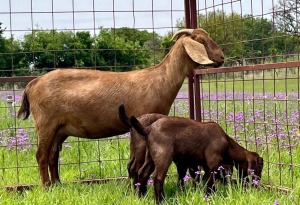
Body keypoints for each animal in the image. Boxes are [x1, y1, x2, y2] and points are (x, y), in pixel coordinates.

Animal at [16, 27, 223, 186]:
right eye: (201, 40)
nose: (221, 57)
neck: (160, 80)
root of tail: (33, 83)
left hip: (60, 128)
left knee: (52, 155)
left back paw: (57, 184)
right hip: (46, 123)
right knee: (41, 156)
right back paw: (46, 187)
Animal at [127, 114, 264, 203]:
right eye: (259, 167)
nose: (257, 183)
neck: (228, 144)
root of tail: (148, 128)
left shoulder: (206, 167)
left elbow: (207, 181)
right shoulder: (213, 164)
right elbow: (210, 182)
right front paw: (208, 197)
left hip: (150, 157)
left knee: (143, 173)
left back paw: (140, 197)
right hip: (163, 156)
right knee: (158, 177)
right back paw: (160, 200)